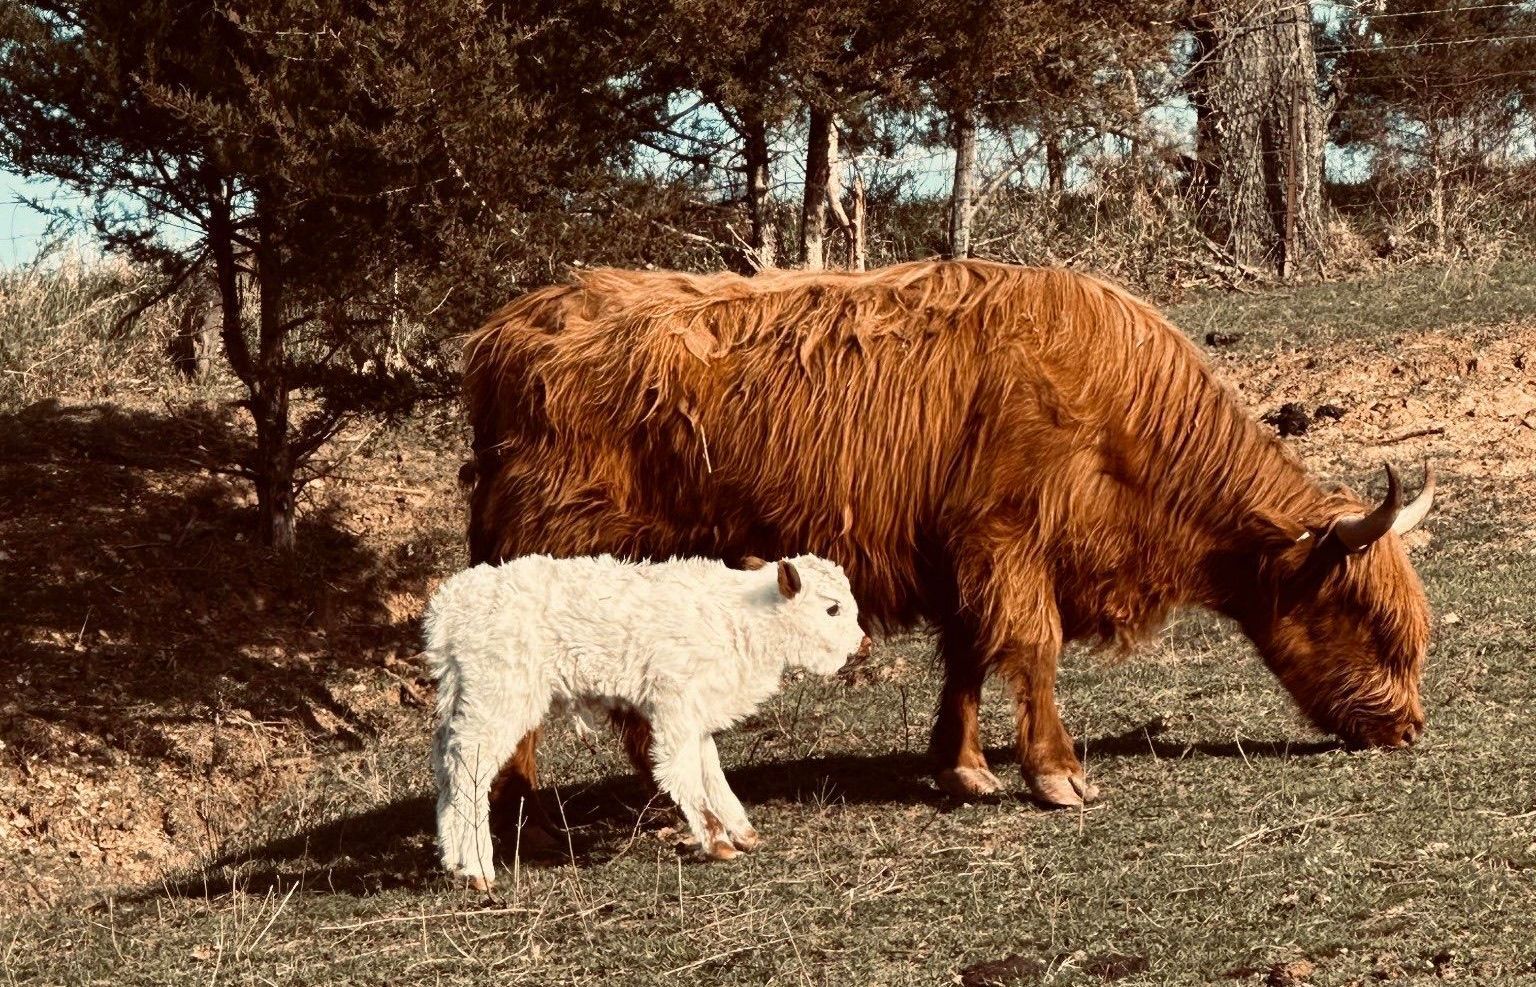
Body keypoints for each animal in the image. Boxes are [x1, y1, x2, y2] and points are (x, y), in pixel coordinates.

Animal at [459, 259, 1435, 811]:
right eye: (1365, 619)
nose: (1411, 727)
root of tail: (505, 329)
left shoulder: (969, 559)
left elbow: (967, 657)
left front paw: (962, 768)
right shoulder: (1006, 540)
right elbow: (1031, 650)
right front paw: (1057, 774)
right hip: (547, 551)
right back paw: (518, 799)